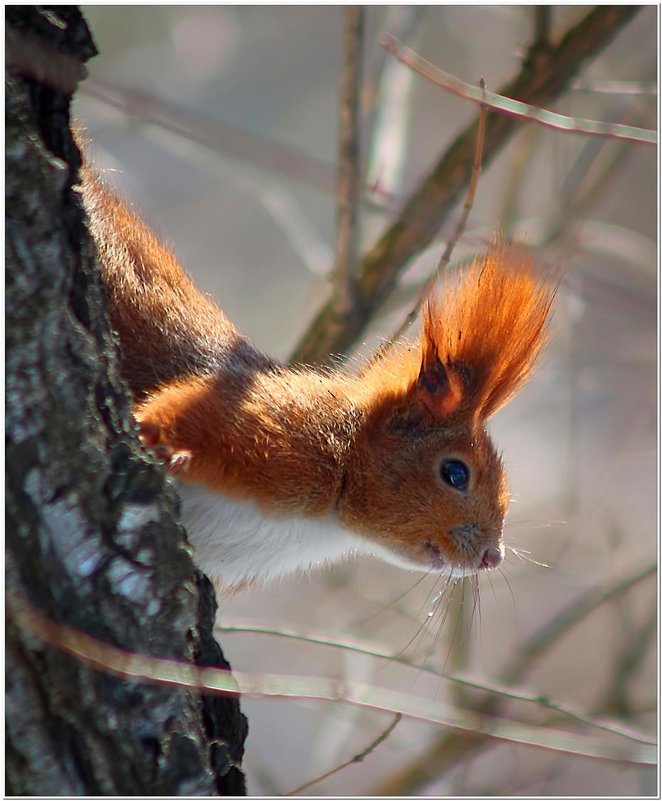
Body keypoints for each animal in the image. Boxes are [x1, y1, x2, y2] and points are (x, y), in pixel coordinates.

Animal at [78, 159, 556, 592]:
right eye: (455, 473)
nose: (493, 557)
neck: (327, 523)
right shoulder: (272, 425)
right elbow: (180, 413)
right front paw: (160, 441)